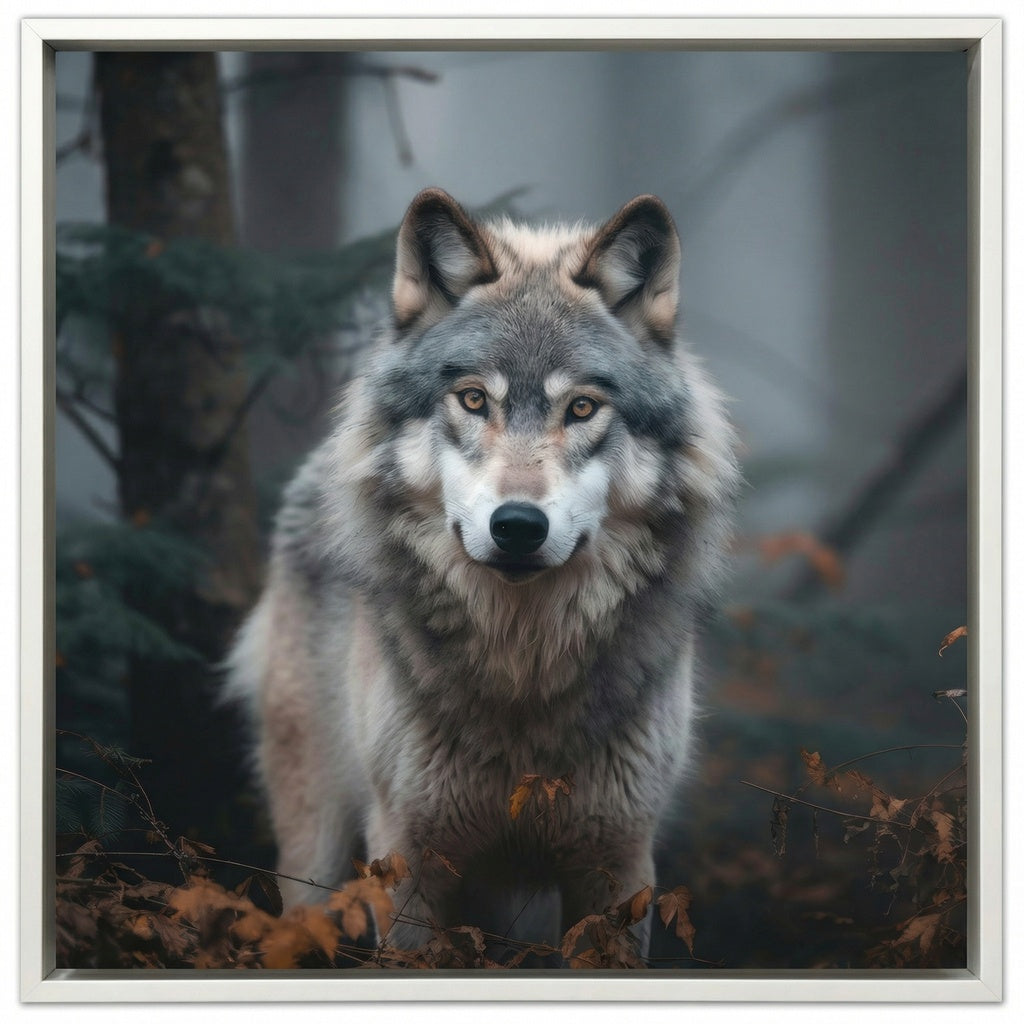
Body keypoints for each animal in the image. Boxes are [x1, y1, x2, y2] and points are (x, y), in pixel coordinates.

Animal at [226, 188, 740, 959]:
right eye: (473, 400)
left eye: (581, 407)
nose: (518, 525)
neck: (521, 667)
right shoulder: (408, 859)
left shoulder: (618, 865)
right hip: (316, 846)